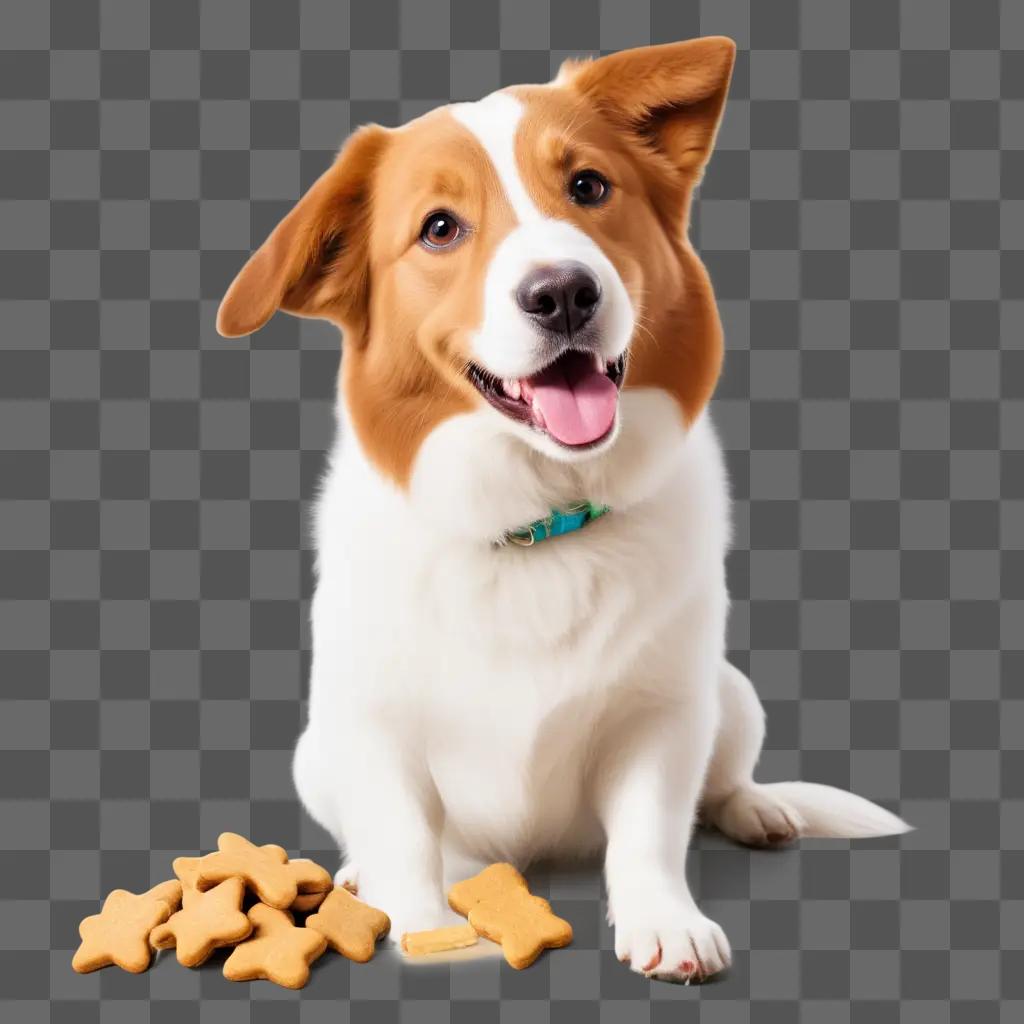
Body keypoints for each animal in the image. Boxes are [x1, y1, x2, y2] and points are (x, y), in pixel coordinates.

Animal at [220, 41, 909, 983]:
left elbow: (649, 832)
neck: (537, 517)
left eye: (588, 186)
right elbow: (404, 833)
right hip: (314, 752)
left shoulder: (660, 717)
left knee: (726, 778)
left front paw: (667, 923)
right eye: (440, 227)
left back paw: (759, 809)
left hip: (730, 696)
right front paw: (419, 922)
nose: (563, 293)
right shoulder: (373, 725)